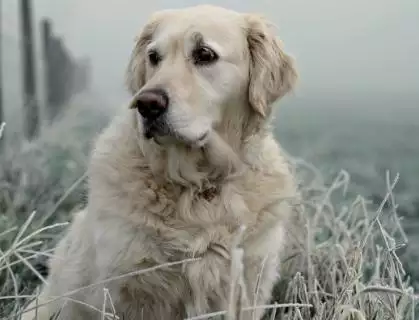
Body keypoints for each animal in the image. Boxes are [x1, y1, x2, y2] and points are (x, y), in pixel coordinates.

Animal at [21, 5, 298, 320]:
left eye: (204, 54)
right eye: (153, 57)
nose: (147, 104)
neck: (199, 187)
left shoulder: (246, 282)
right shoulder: (128, 291)